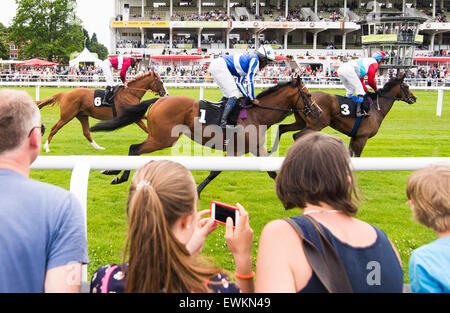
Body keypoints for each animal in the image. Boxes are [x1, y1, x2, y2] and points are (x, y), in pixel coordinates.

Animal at [36, 70, 168, 151]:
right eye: (161, 81)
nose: (166, 94)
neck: (130, 93)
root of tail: (65, 94)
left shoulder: (136, 113)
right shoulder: (132, 116)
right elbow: (146, 129)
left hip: (82, 115)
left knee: (86, 132)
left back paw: (98, 148)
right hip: (67, 116)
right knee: (54, 128)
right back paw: (46, 147)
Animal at [89, 74, 322, 194]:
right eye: (309, 95)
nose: (318, 112)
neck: (256, 114)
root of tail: (160, 100)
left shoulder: (254, 149)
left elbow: (272, 171)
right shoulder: (235, 151)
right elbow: (214, 171)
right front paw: (198, 189)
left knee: (134, 150)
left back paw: (113, 172)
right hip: (163, 138)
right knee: (134, 149)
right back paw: (118, 176)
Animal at [268, 72, 416, 156]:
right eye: (407, 86)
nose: (414, 98)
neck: (376, 108)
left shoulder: (355, 137)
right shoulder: (362, 137)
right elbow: (357, 156)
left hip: (301, 122)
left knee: (282, 128)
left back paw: (272, 150)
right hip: (316, 124)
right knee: (297, 136)